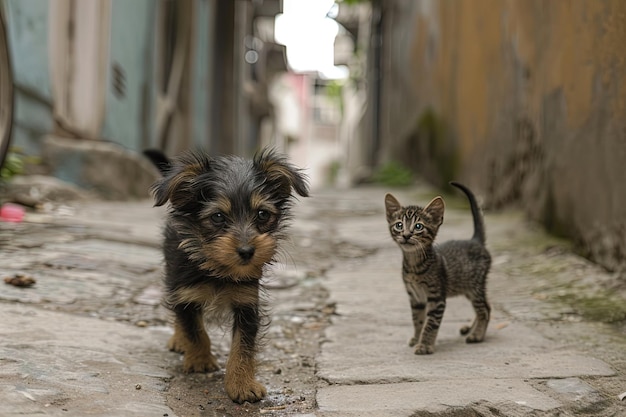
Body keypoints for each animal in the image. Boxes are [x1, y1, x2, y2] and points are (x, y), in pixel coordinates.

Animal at [147, 148, 312, 402]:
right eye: (217, 217)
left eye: (262, 214)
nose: (247, 251)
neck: (217, 268)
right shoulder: (185, 293)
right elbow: (194, 329)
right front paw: (200, 359)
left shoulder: (247, 302)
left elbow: (242, 345)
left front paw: (242, 384)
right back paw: (179, 339)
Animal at [382, 182, 490, 354]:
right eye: (399, 225)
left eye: (418, 226)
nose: (406, 235)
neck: (414, 266)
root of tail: (475, 241)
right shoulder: (416, 298)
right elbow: (418, 320)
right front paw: (417, 338)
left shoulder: (437, 298)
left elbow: (430, 324)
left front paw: (425, 345)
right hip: (466, 287)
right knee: (485, 307)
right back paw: (470, 329)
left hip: (475, 287)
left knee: (485, 309)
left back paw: (477, 335)